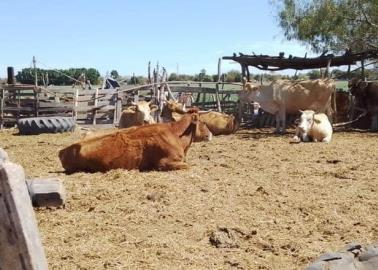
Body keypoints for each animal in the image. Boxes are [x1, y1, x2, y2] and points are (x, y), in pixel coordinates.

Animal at [59, 109, 213, 173]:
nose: (210, 134)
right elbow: (188, 166)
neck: (176, 134)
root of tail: (64, 150)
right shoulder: (164, 162)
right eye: (203, 122)